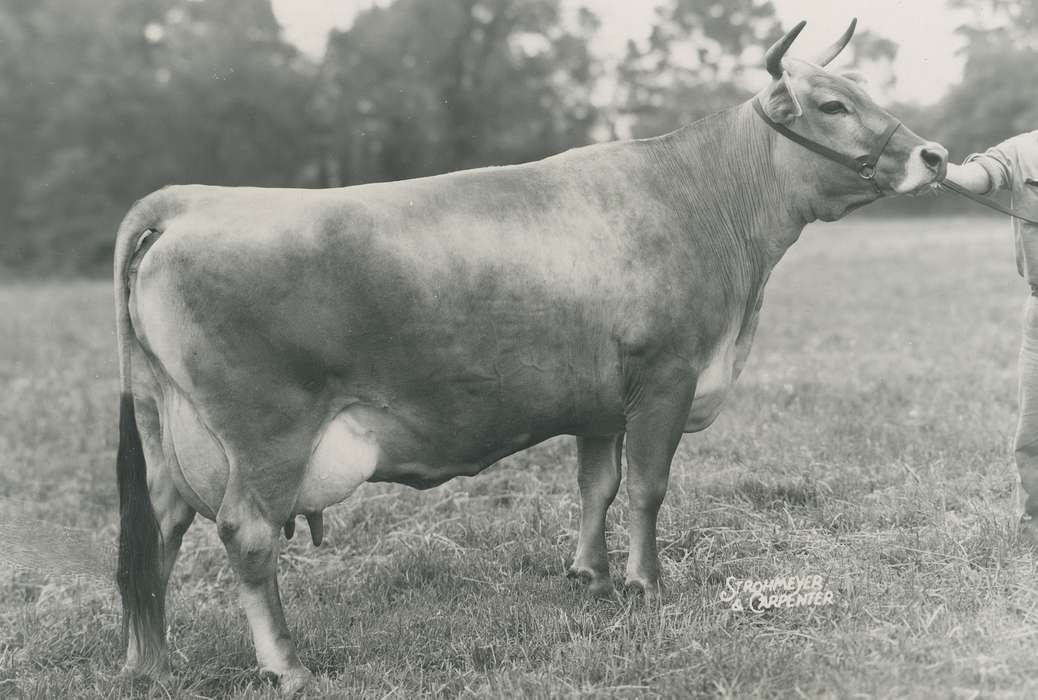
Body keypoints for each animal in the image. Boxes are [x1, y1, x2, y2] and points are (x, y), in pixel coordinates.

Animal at [112, 19, 947, 695]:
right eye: (832, 105)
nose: (933, 155)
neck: (705, 201)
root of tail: (191, 200)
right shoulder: (666, 377)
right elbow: (647, 489)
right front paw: (646, 584)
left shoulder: (602, 403)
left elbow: (597, 487)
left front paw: (590, 574)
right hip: (267, 437)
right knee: (246, 535)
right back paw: (285, 666)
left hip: (166, 430)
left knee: (158, 530)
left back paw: (151, 662)